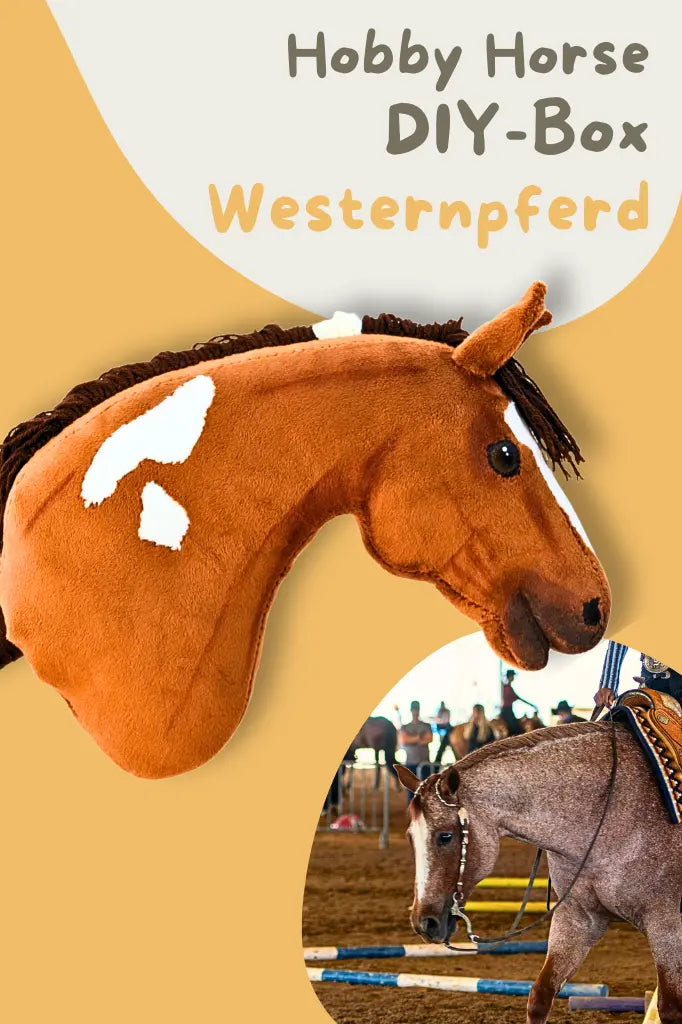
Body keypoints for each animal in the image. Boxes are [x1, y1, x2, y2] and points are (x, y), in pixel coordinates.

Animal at [396, 724, 682, 1024]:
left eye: (445, 836)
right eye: (410, 837)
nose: (424, 923)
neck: (614, 810)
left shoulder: (665, 924)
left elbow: (670, 1007)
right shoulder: (578, 918)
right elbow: (540, 995)